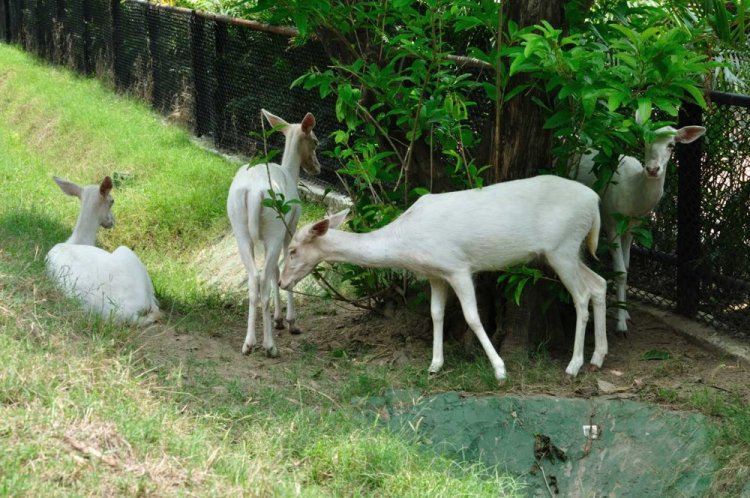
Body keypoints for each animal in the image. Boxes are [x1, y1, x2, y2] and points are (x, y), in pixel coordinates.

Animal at [45, 176, 162, 326]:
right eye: (112, 200)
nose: (112, 221)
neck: (79, 240)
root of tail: (128, 314)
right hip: (129, 254)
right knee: (155, 307)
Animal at [229, 109, 324, 358]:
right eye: (316, 141)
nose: (318, 168)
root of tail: (254, 193)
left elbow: (275, 271)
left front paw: (279, 319)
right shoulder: (289, 229)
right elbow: (284, 269)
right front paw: (290, 322)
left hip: (240, 230)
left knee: (254, 278)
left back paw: (248, 343)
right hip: (274, 228)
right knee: (261, 278)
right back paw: (269, 346)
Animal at [282, 176, 612, 382]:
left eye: (293, 249)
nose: (283, 282)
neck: (407, 242)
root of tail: (596, 203)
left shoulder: (458, 266)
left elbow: (472, 317)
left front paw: (500, 370)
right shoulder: (436, 274)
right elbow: (436, 314)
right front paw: (434, 365)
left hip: (563, 247)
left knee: (581, 295)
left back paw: (573, 365)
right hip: (569, 250)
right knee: (599, 283)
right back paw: (598, 357)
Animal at [572, 117, 708, 334]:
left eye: (671, 145)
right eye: (645, 140)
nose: (652, 170)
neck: (633, 198)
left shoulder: (632, 228)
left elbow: (627, 266)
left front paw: (626, 312)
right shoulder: (611, 221)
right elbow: (620, 271)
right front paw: (621, 325)